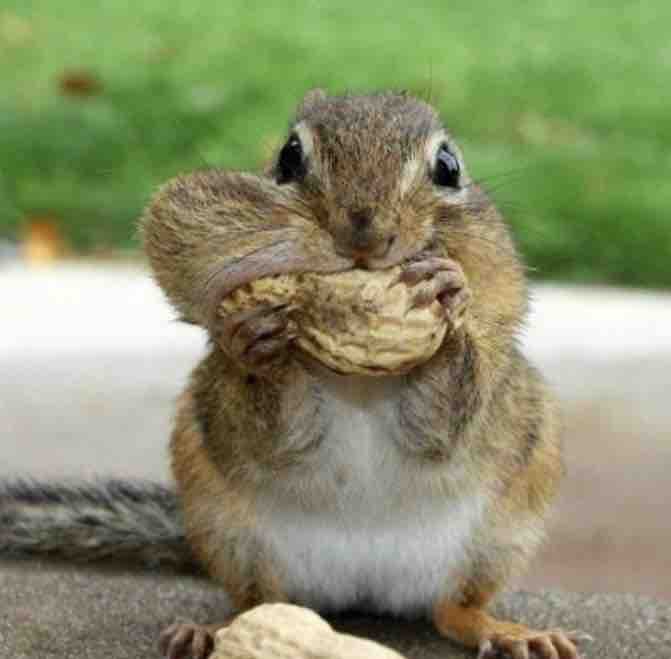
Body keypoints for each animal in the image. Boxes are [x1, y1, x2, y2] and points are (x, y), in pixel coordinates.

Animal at [0, 90, 589, 659]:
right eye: (288, 158)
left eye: (448, 166)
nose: (363, 234)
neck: (360, 383)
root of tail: (362, 590)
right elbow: (280, 436)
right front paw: (258, 343)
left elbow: (442, 427)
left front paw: (448, 300)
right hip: (227, 531)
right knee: (260, 602)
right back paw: (211, 631)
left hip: (501, 533)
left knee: (454, 610)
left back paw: (506, 630)